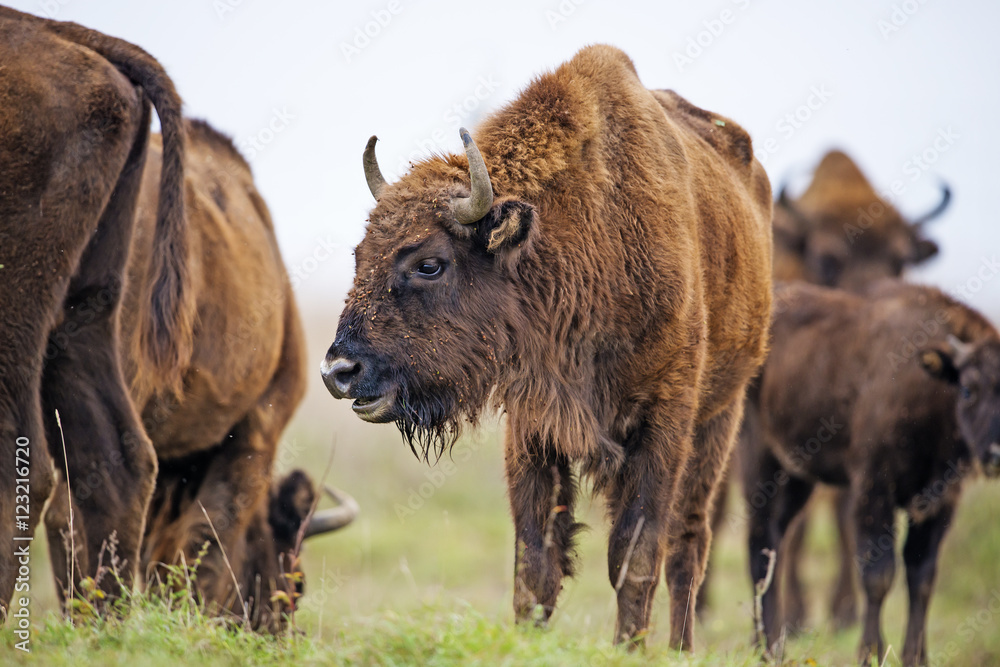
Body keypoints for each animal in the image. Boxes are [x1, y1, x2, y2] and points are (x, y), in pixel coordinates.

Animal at [322, 45, 773, 648]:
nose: (338, 370)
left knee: (689, 546)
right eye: (359, 256)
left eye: (429, 263)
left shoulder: (664, 422)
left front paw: (629, 648)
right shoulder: (533, 424)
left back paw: (680, 647)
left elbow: (635, 556)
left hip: (722, 414)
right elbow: (535, 561)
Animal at [745, 280, 998, 666]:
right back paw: (767, 647)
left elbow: (922, 578)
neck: (931, 389)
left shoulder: (941, 502)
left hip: (798, 477)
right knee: (759, 543)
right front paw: (871, 653)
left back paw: (773, 644)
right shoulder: (874, 488)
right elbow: (878, 574)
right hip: (759, 462)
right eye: (969, 389)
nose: (995, 453)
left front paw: (915, 657)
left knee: (776, 541)